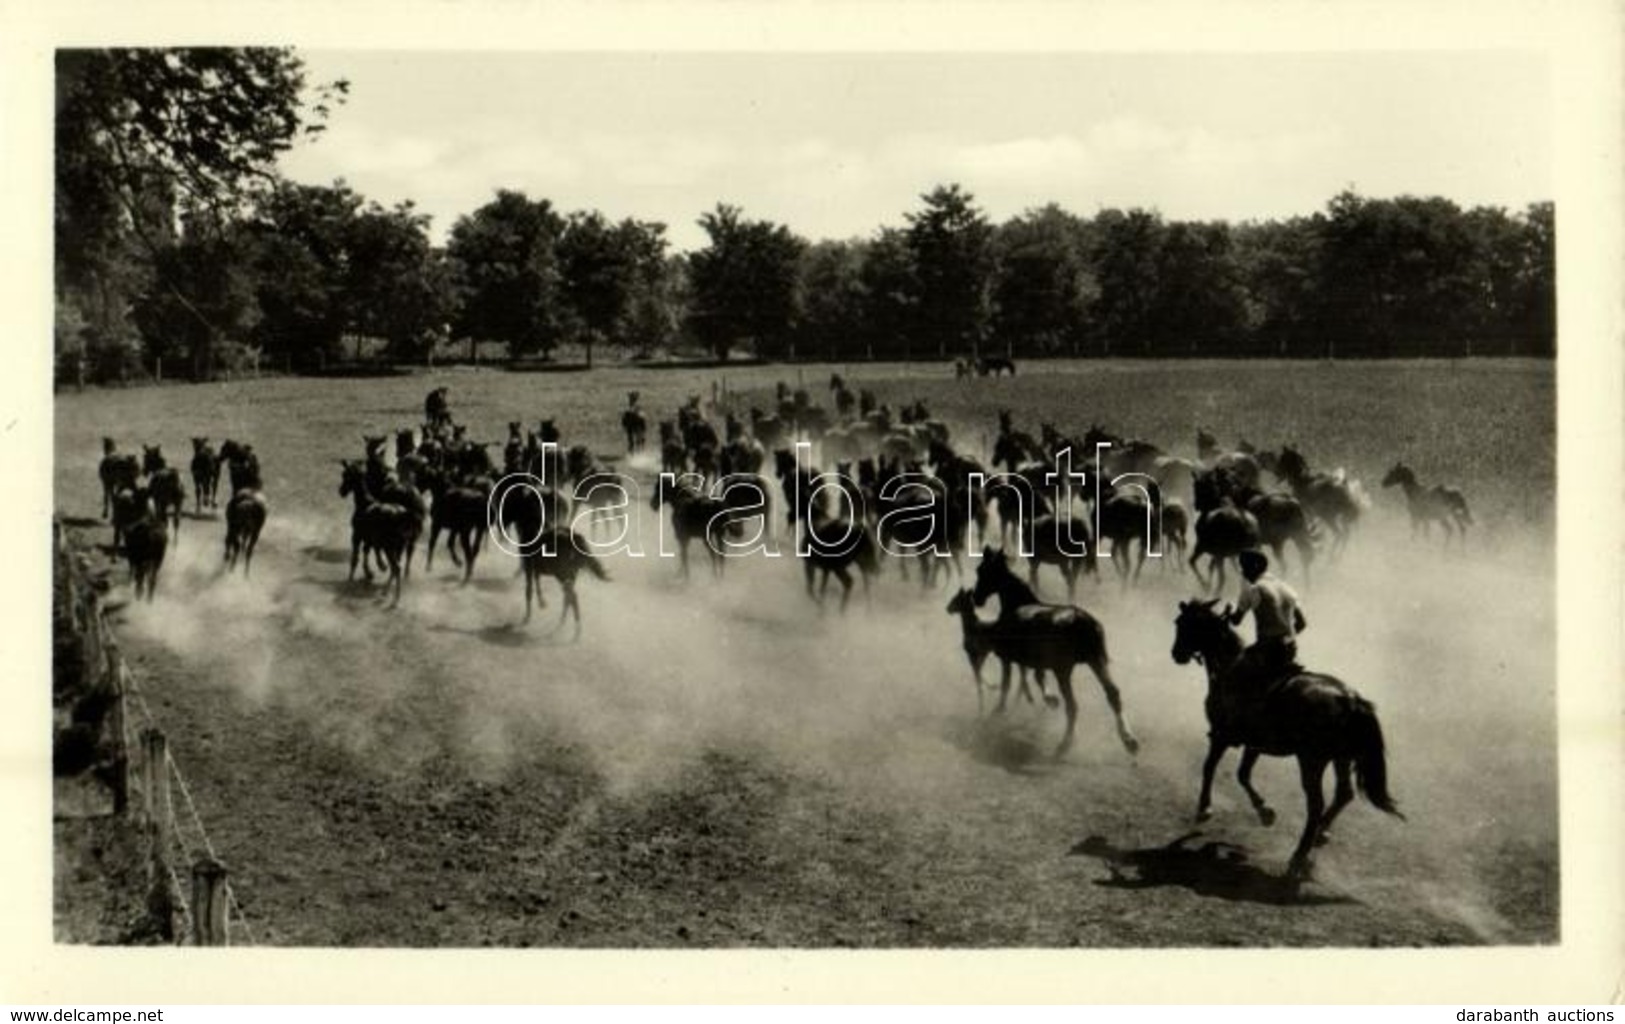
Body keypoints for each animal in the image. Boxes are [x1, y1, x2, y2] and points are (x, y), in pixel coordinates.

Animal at [968, 549, 1137, 757]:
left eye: (982, 571)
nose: (976, 598)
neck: (1017, 605)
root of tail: (1082, 620)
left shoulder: (1007, 657)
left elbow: (1008, 683)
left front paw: (999, 711)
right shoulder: (1034, 661)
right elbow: (1035, 677)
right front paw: (1049, 700)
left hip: (1063, 670)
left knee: (1073, 705)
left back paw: (1065, 743)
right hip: (1097, 661)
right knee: (1113, 694)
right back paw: (1129, 740)